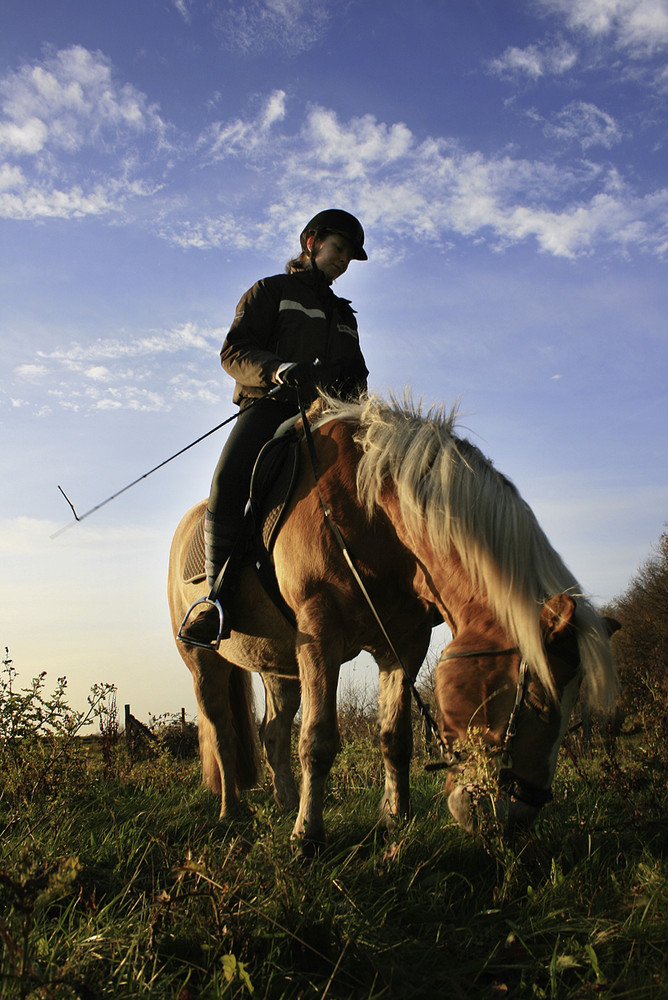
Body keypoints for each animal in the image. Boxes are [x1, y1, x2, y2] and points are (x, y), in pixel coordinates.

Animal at [170, 394, 620, 848]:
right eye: (537, 701)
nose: (516, 820)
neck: (366, 511)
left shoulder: (405, 641)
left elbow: (395, 737)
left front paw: (393, 819)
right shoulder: (320, 632)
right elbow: (317, 739)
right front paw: (308, 836)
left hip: (280, 669)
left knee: (273, 733)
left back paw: (285, 803)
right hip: (203, 662)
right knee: (223, 733)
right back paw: (232, 812)